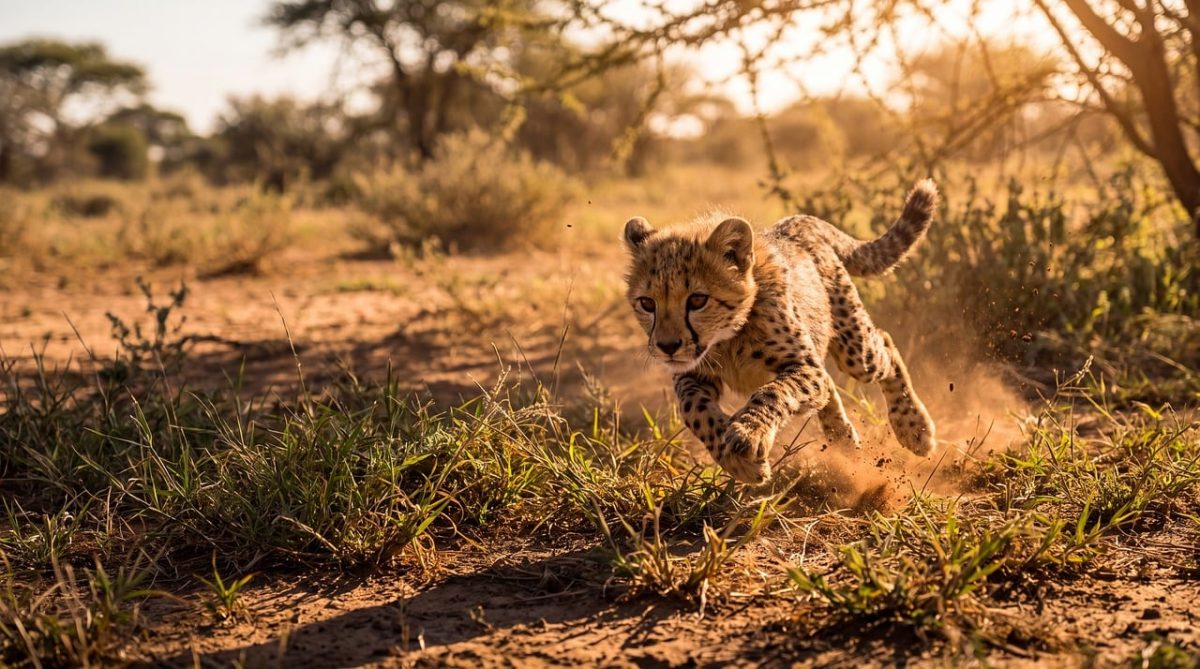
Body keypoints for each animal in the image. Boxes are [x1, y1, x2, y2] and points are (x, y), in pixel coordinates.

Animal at [622, 179, 939, 484]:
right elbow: (694, 409)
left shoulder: (804, 366)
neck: (728, 338)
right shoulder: (692, 373)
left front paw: (748, 433)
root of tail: (797, 222)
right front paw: (738, 461)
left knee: (883, 345)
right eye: (647, 303)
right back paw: (845, 442)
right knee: (829, 388)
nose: (667, 346)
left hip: (856, 353)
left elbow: (773, 391)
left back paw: (914, 428)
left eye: (697, 300)